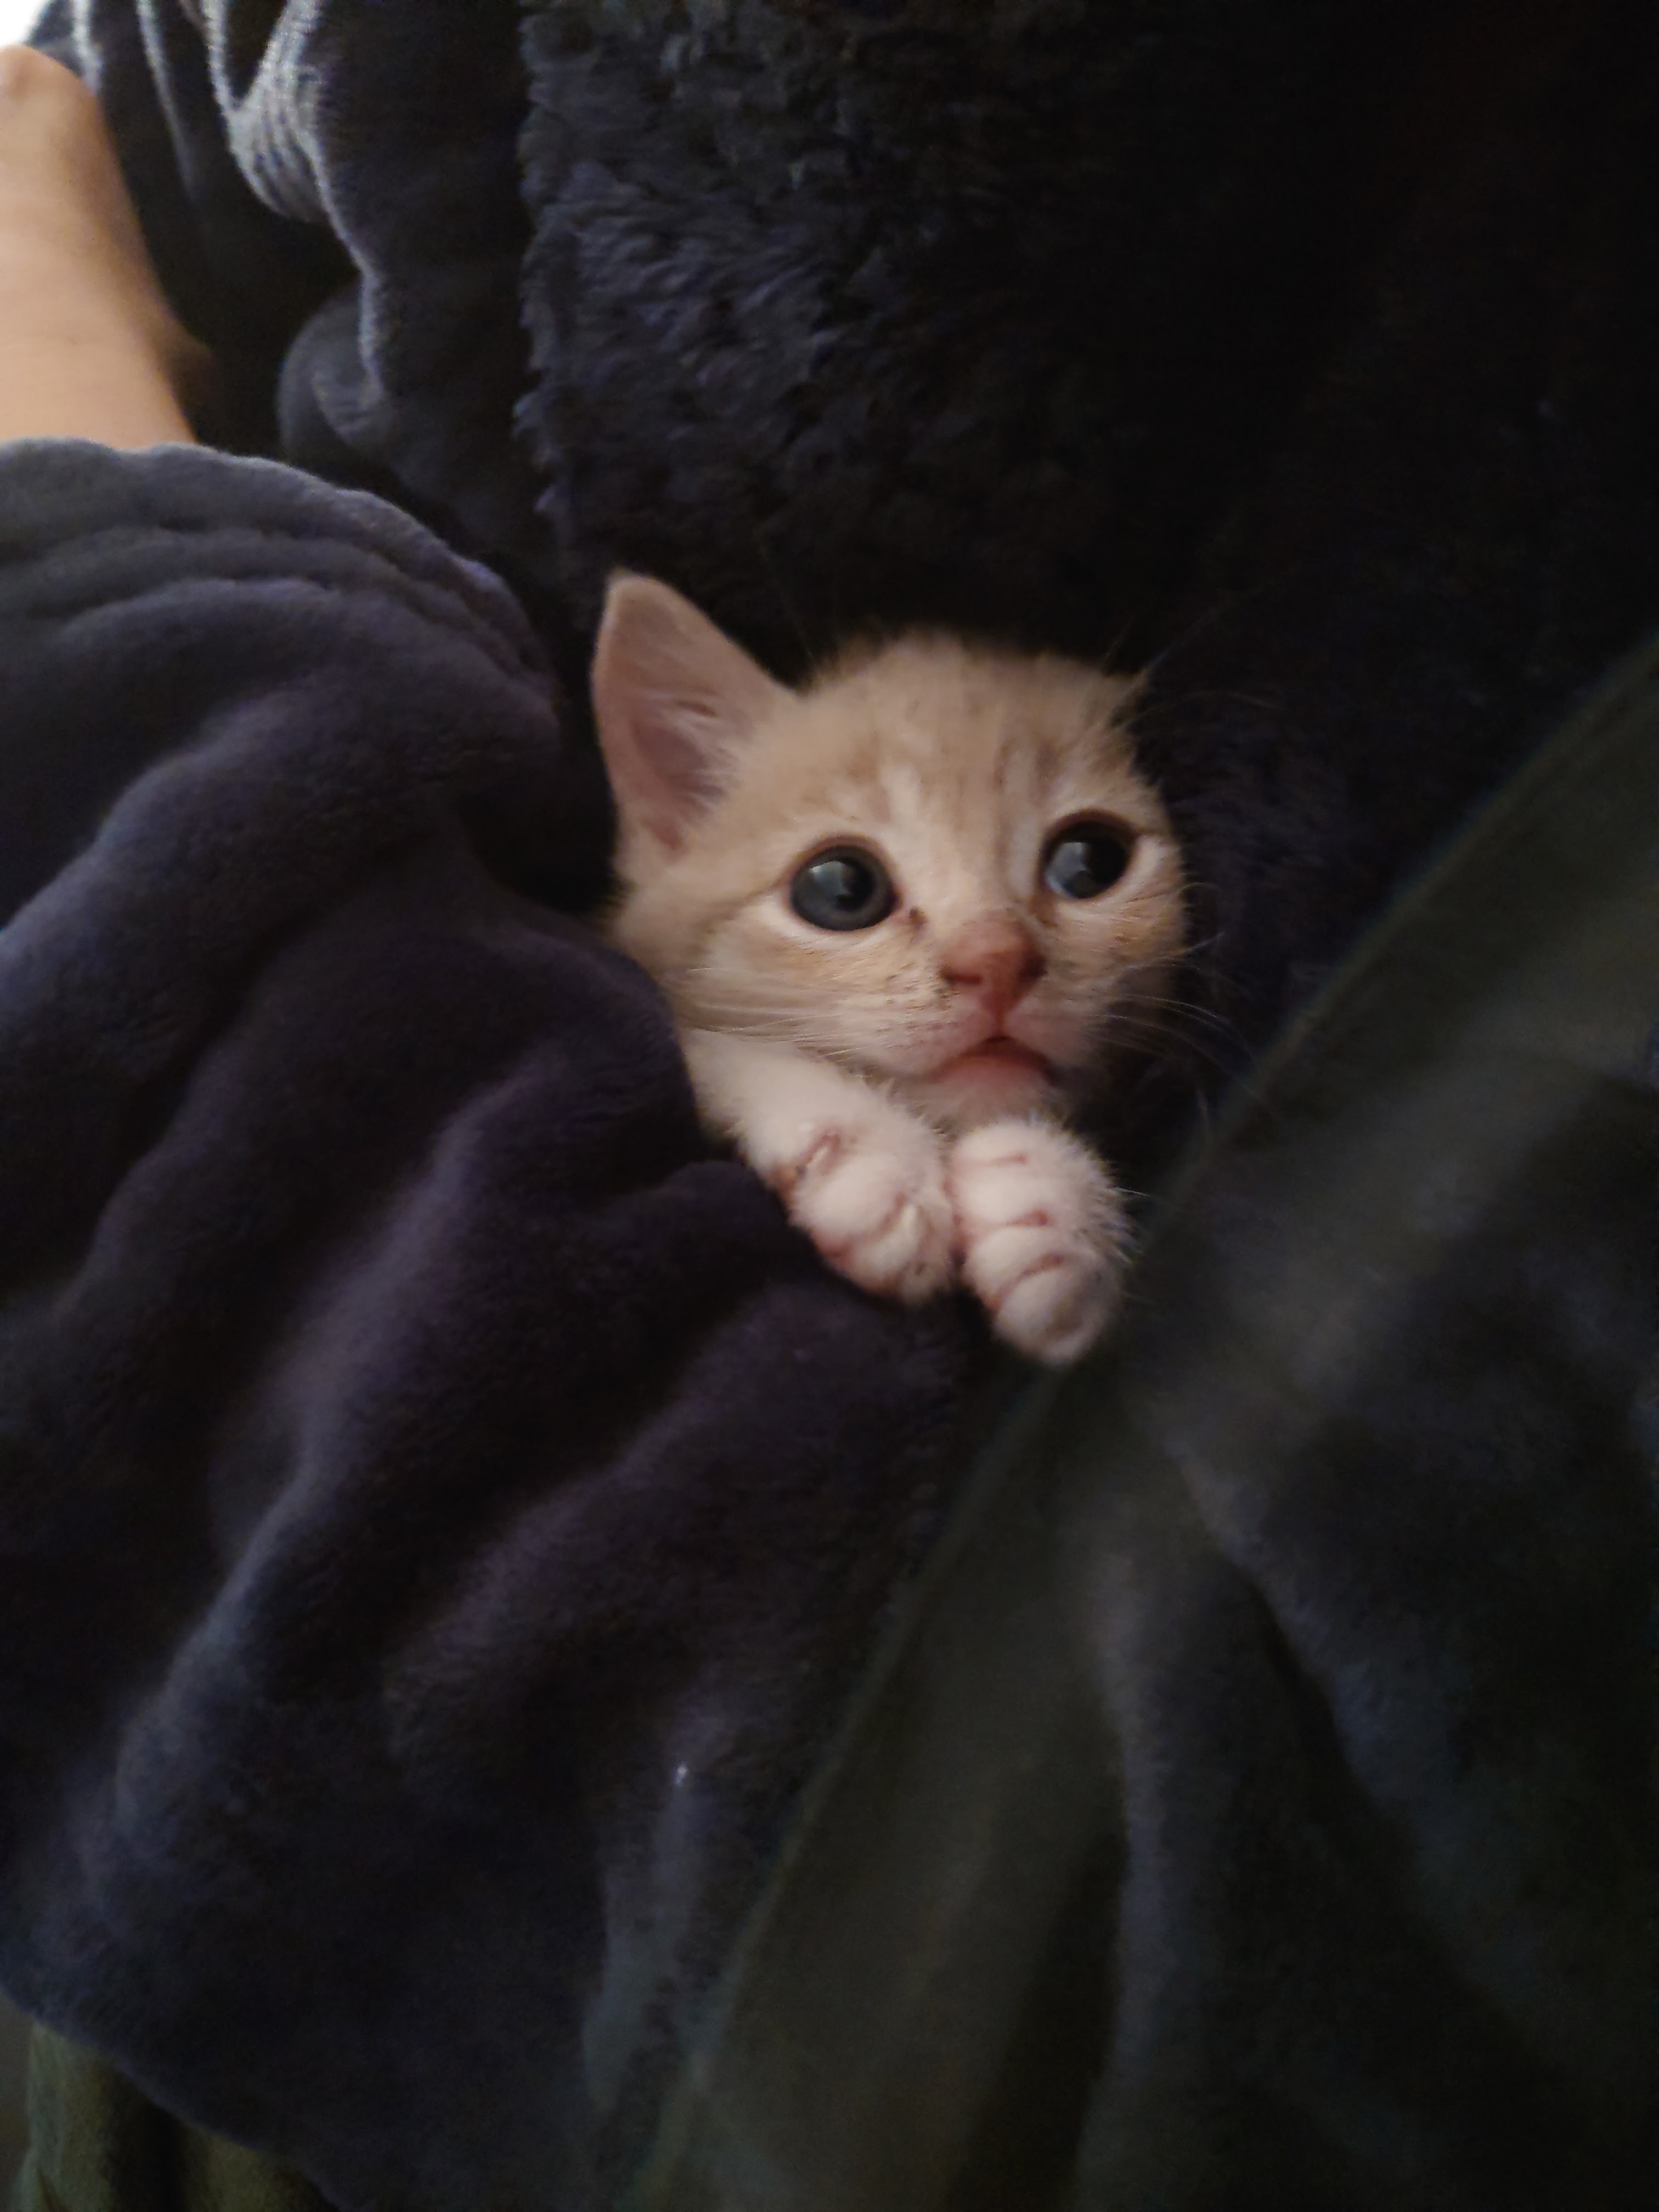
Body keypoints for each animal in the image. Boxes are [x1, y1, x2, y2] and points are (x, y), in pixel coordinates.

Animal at [592, 573, 1186, 1365]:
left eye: (1091, 863)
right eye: (842, 888)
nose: (996, 960)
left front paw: (1059, 1209)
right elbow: (698, 1041)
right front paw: (868, 1151)